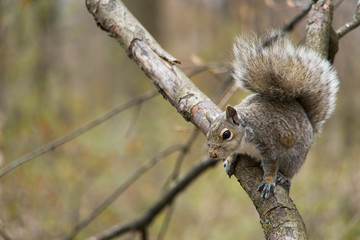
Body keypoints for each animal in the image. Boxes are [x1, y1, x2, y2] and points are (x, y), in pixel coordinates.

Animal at [207, 31, 338, 198]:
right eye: (208, 135)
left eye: (226, 134)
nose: (212, 154)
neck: (247, 134)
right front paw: (230, 159)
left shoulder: (272, 145)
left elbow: (272, 165)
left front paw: (269, 180)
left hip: (295, 156)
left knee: (291, 169)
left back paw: (283, 177)